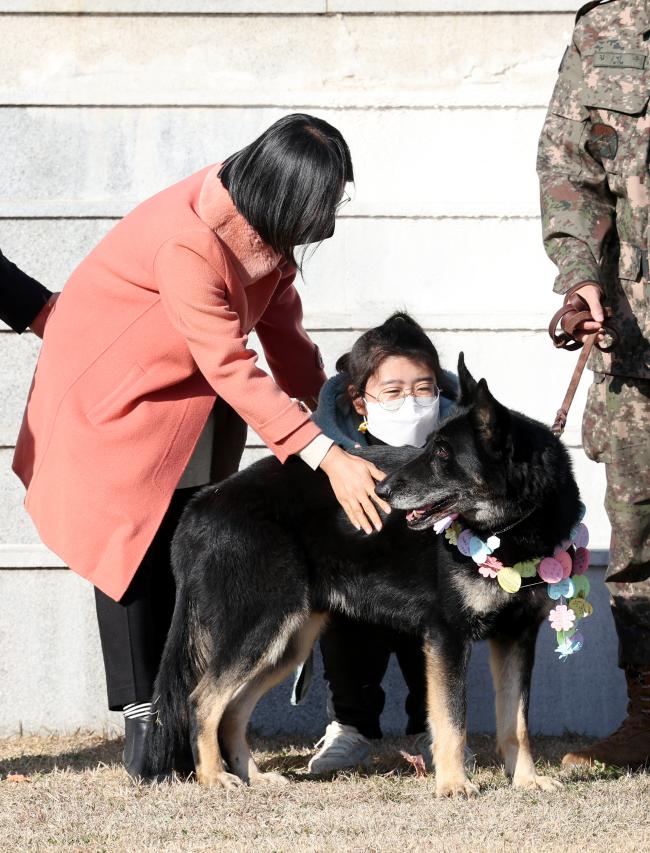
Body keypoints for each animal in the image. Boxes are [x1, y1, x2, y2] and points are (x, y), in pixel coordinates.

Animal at [146, 356, 576, 796]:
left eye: (442, 453)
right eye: (429, 446)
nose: (381, 491)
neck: (513, 528)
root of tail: (199, 506)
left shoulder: (516, 638)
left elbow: (516, 723)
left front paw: (526, 780)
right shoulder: (448, 636)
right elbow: (452, 720)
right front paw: (454, 784)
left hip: (285, 643)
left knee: (232, 708)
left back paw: (252, 776)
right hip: (260, 627)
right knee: (202, 700)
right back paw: (213, 777)